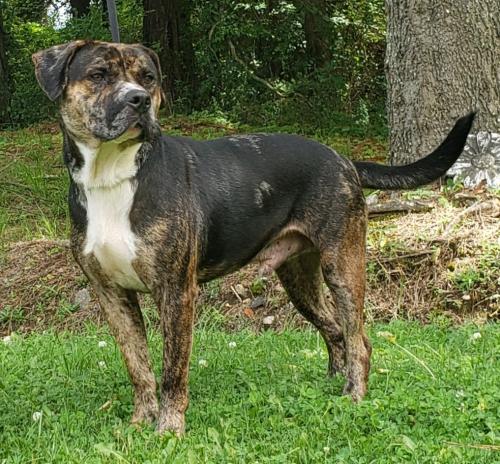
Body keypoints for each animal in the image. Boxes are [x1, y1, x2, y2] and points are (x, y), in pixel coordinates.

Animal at [32, 40, 474, 434]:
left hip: (343, 265)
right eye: (98, 75)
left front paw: (169, 430)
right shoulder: (111, 294)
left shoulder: (176, 292)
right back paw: (334, 384)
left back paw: (354, 396)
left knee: (358, 339)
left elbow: (172, 370)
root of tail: (342, 159)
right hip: (299, 278)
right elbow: (138, 365)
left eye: (148, 78)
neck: (112, 177)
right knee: (334, 331)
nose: (139, 100)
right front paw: (140, 423)